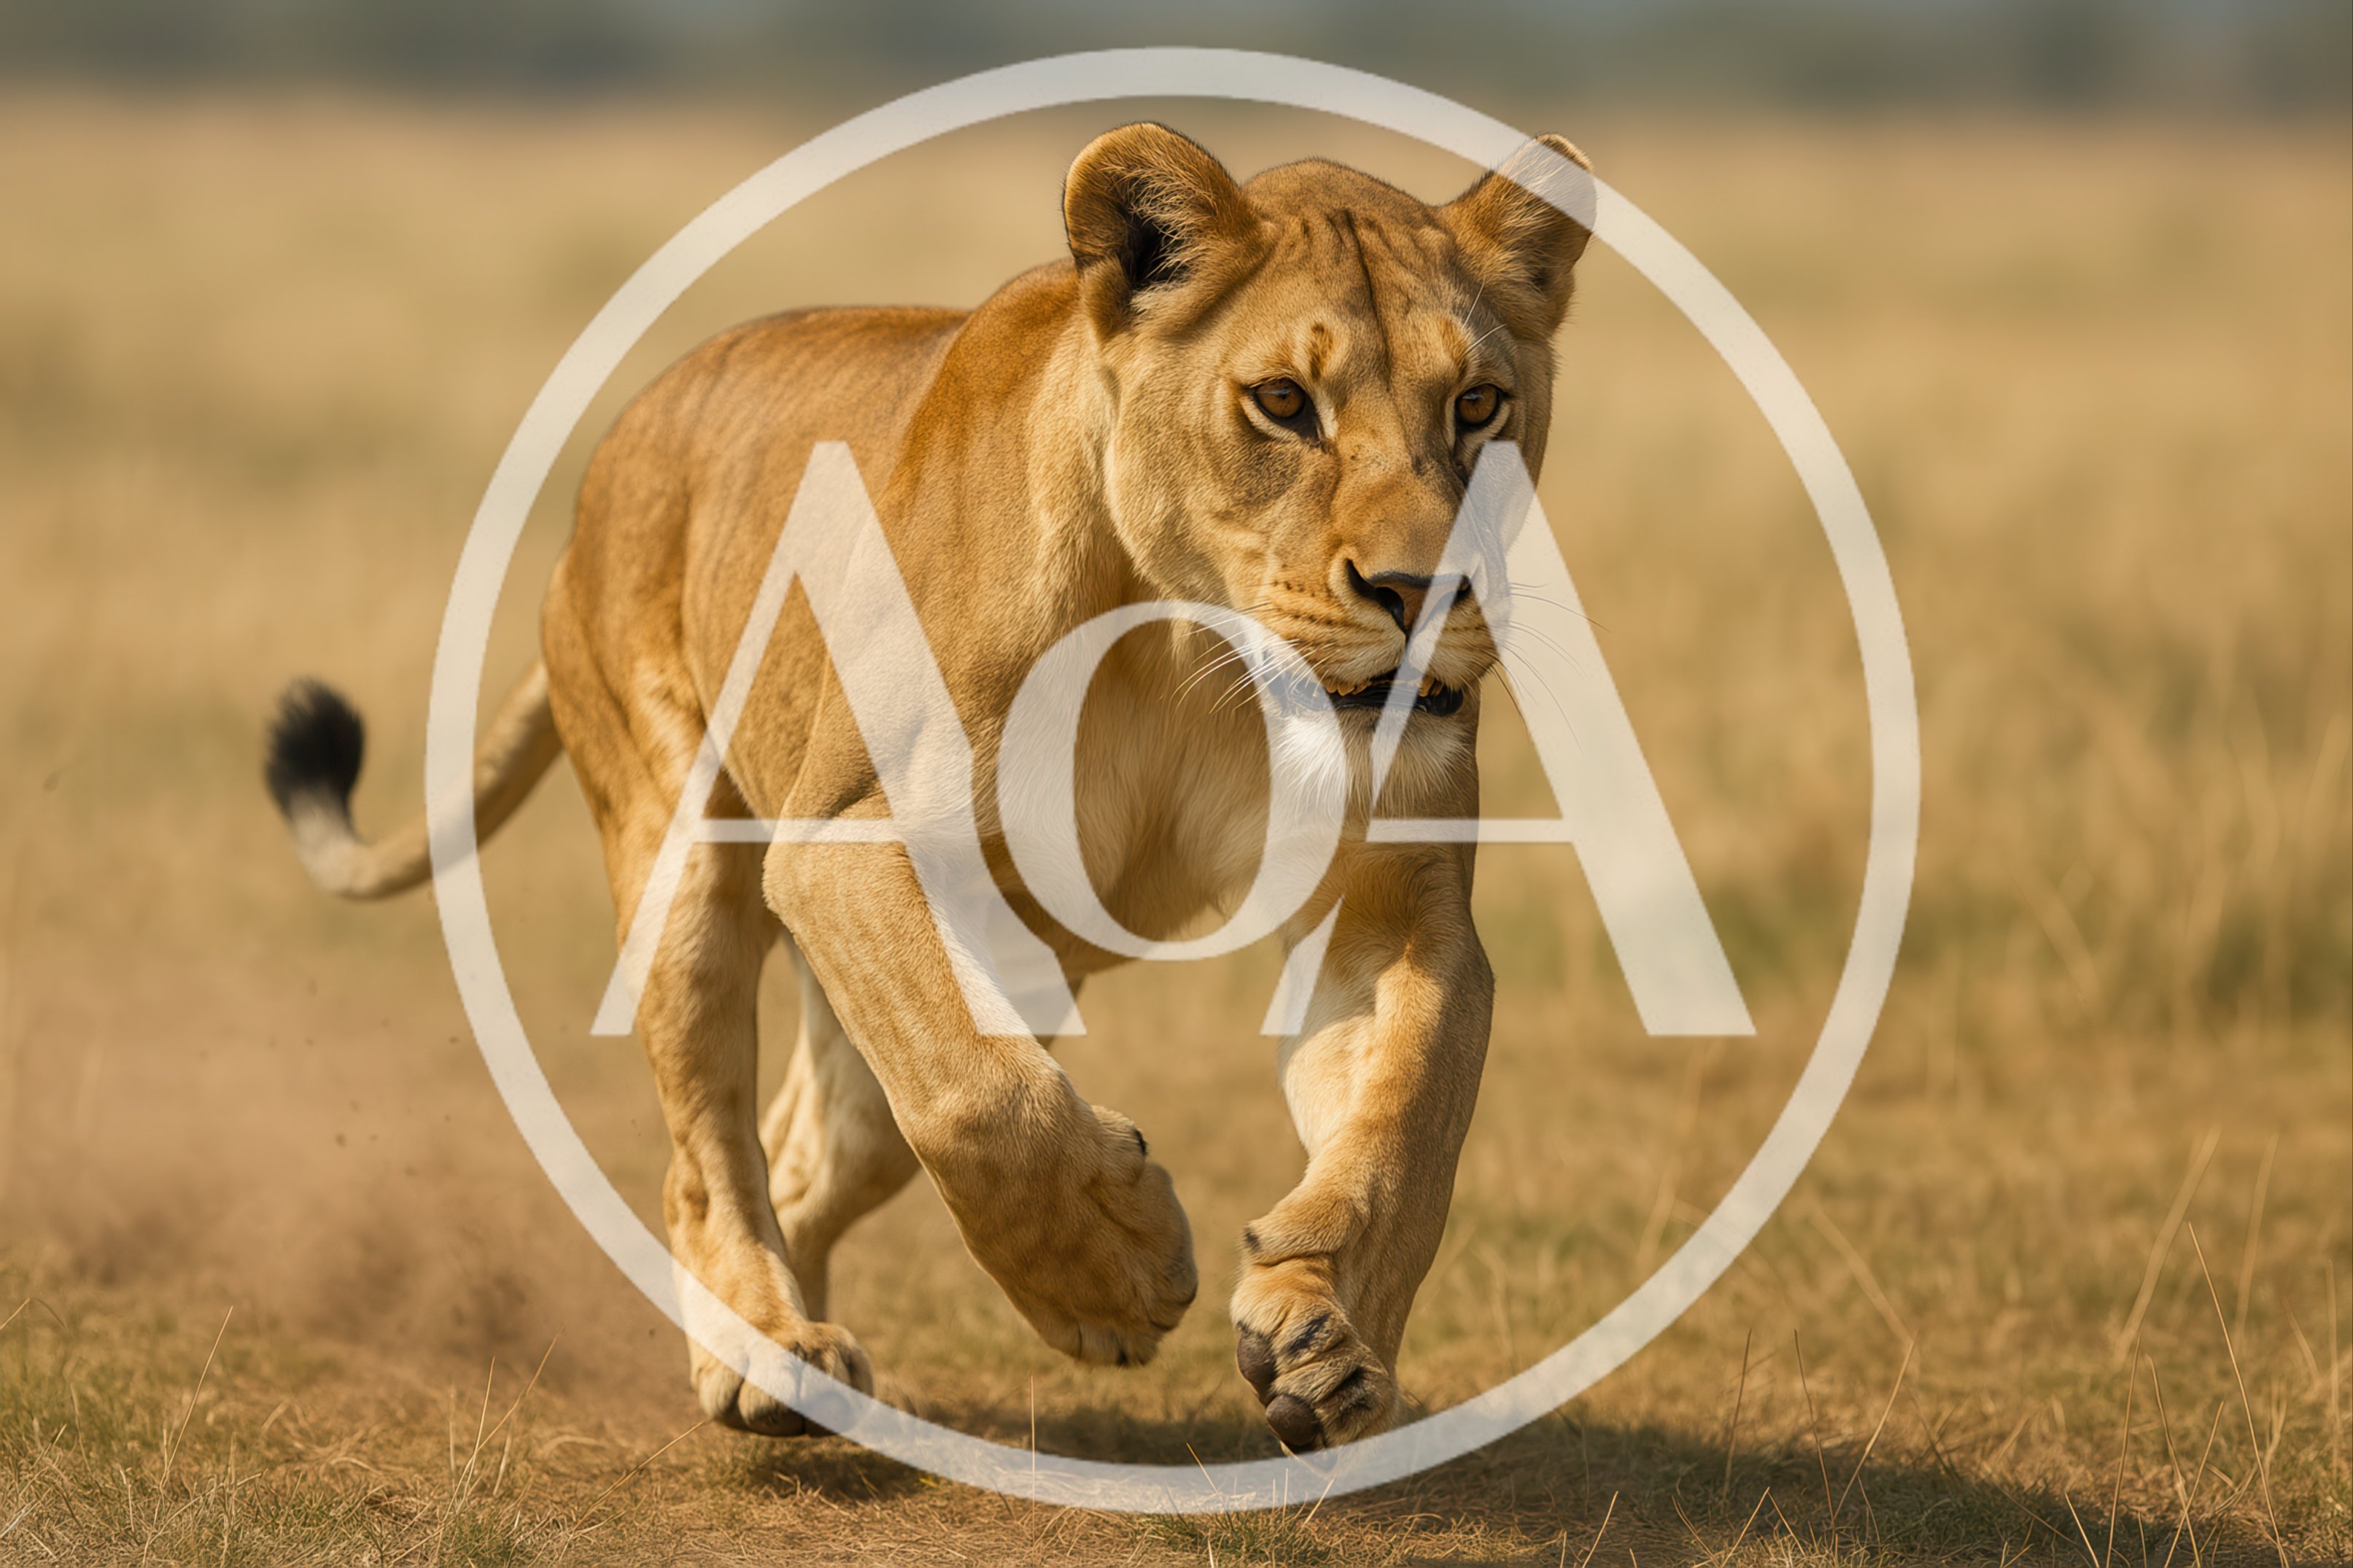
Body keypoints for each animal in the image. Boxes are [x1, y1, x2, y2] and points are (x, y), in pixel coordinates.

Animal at [265, 123, 1592, 1452]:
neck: (1189, 647)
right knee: (709, 1155)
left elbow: (1405, 1120)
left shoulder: (1384, 904)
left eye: (1477, 405)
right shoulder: (842, 841)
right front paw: (1116, 1272)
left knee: (807, 1157)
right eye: (1281, 402)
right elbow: (978, 1099)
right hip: (682, 857)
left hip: (997, 976)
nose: (1421, 594)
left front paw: (1331, 1334)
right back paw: (764, 1354)